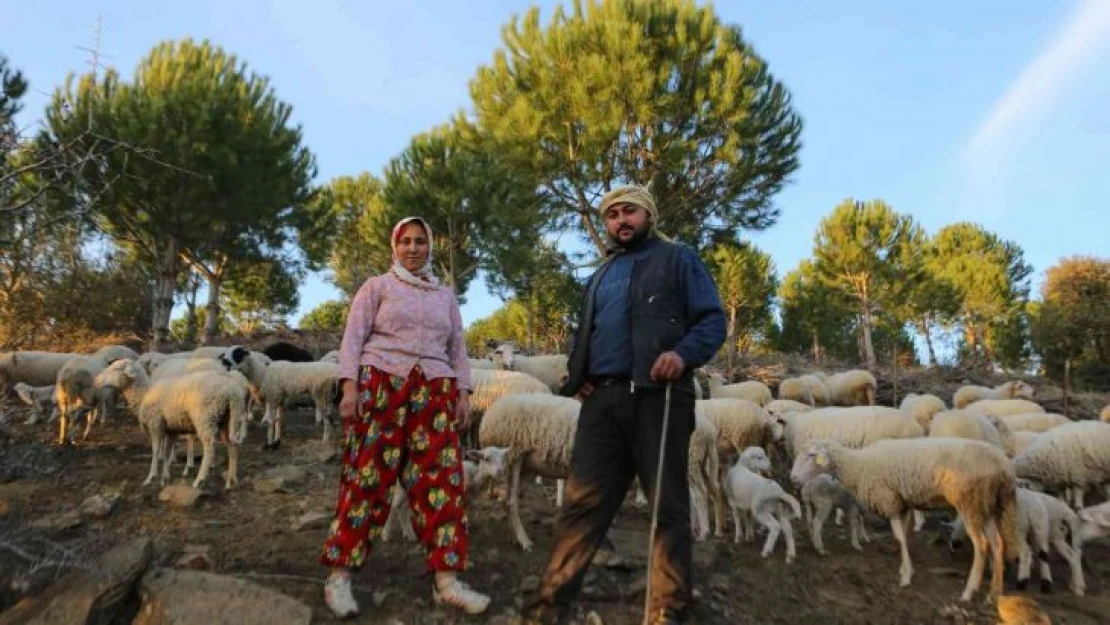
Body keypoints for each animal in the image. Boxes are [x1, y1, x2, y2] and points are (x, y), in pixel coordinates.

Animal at [94, 359, 251, 490]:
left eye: (116, 368)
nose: (96, 380)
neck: (144, 395)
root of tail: (231, 390)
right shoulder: (171, 429)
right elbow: (167, 450)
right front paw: (165, 476)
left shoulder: (155, 425)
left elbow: (156, 450)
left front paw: (150, 477)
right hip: (227, 419)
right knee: (232, 446)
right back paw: (231, 481)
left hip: (206, 417)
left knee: (209, 446)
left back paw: (199, 479)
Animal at [475, 392, 581, 550]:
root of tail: (488, 415)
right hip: (515, 454)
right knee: (511, 503)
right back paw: (524, 540)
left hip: (519, 465)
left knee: (506, 501)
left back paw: (514, 538)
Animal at [794, 437, 1016, 603]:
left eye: (811, 455)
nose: (793, 479)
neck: (859, 464)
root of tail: (1004, 467)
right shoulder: (902, 503)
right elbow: (904, 537)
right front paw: (906, 569)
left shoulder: (889, 500)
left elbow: (899, 538)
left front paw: (906, 576)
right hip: (986, 505)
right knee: (997, 543)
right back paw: (994, 593)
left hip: (970, 501)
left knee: (982, 546)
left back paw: (969, 592)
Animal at [945, 488, 1083, 595]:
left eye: (952, 531)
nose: (952, 547)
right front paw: (1004, 569)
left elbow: (992, 551)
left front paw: (997, 570)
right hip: (1047, 532)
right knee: (1059, 555)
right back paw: (1059, 585)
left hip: (1019, 530)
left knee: (1027, 553)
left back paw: (1022, 582)